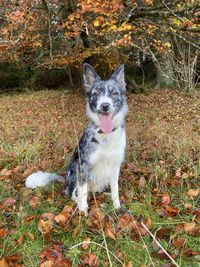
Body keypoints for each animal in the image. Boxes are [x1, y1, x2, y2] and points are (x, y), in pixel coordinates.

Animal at [25, 63, 128, 215]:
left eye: (114, 93)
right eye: (95, 94)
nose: (105, 106)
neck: (105, 135)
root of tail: (65, 180)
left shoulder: (115, 166)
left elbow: (115, 189)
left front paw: (117, 207)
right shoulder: (83, 165)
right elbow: (83, 190)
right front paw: (83, 209)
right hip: (73, 171)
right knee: (74, 193)